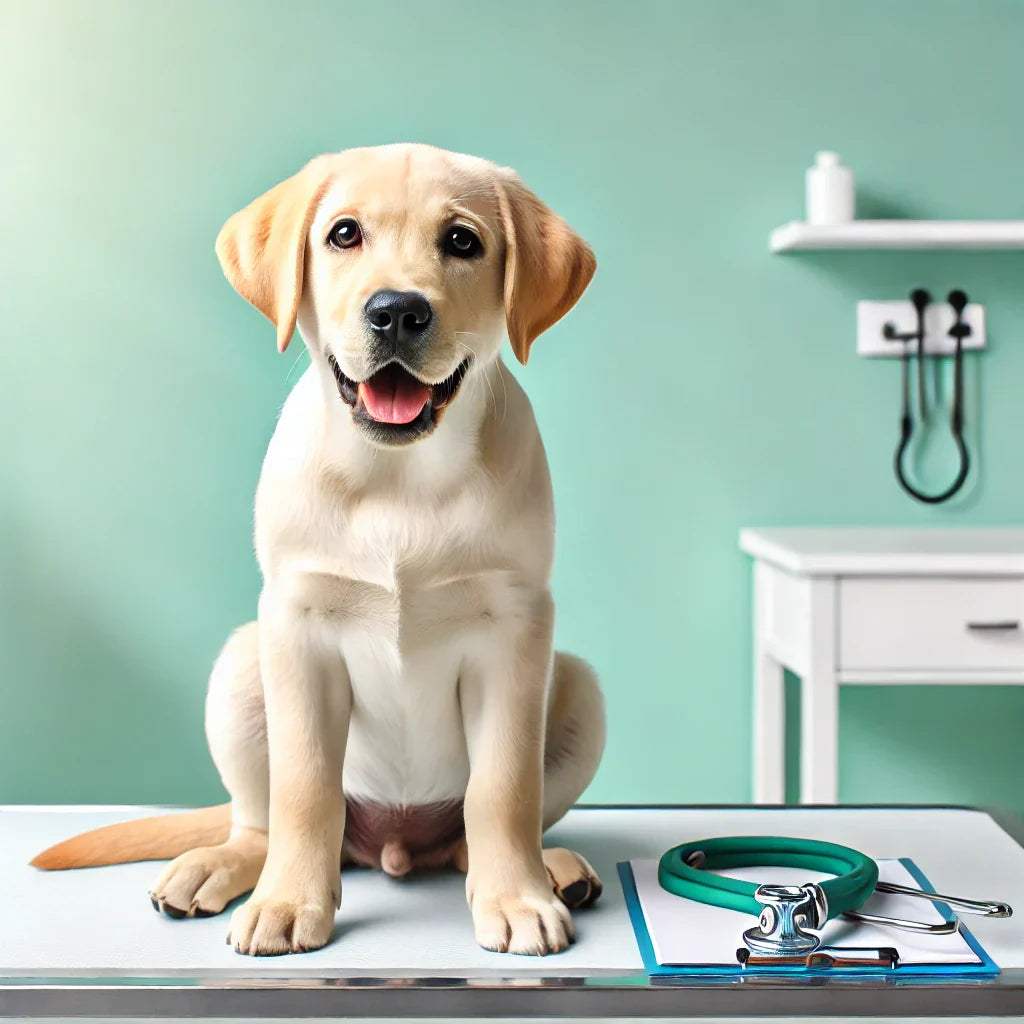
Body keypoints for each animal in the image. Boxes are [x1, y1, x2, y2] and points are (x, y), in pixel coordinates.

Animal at [34, 144, 606, 958]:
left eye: (462, 242)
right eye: (343, 235)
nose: (396, 310)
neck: (400, 475)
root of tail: (394, 845)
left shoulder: (515, 628)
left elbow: (503, 787)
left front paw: (518, 900)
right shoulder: (298, 627)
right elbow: (304, 788)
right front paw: (288, 903)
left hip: (580, 689)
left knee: (470, 832)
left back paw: (549, 869)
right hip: (241, 667)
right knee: (262, 820)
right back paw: (221, 867)